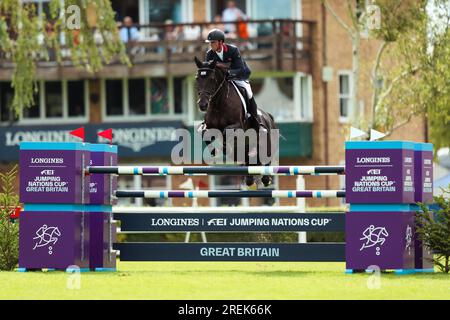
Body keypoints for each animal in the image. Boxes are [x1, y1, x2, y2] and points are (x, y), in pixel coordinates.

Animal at [194, 56, 278, 186]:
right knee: (250, 166)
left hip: (267, 145)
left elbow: (225, 131)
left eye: (212, 79)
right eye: (197, 78)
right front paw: (214, 151)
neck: (219, 104)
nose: (202, 105)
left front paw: (225, 148)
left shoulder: (238, 126)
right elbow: (205, 134)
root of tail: (268, 117)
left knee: (265, 162)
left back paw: (265, 178)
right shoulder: (209, 127)